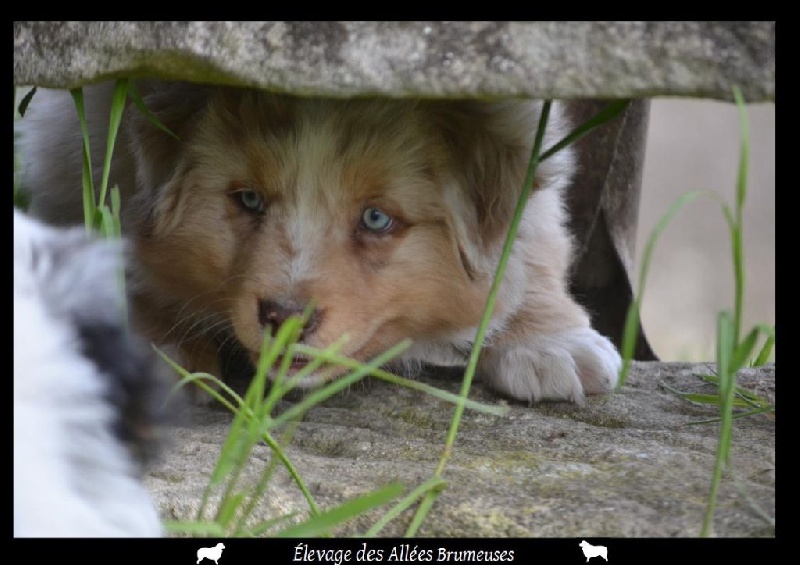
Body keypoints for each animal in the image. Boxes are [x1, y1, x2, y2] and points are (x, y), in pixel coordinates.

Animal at [17, 81, 620, 404]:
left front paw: (548, 340)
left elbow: (533, 239)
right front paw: (157, 344)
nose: (284, 317)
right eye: (250, 200)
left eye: (376, 218)